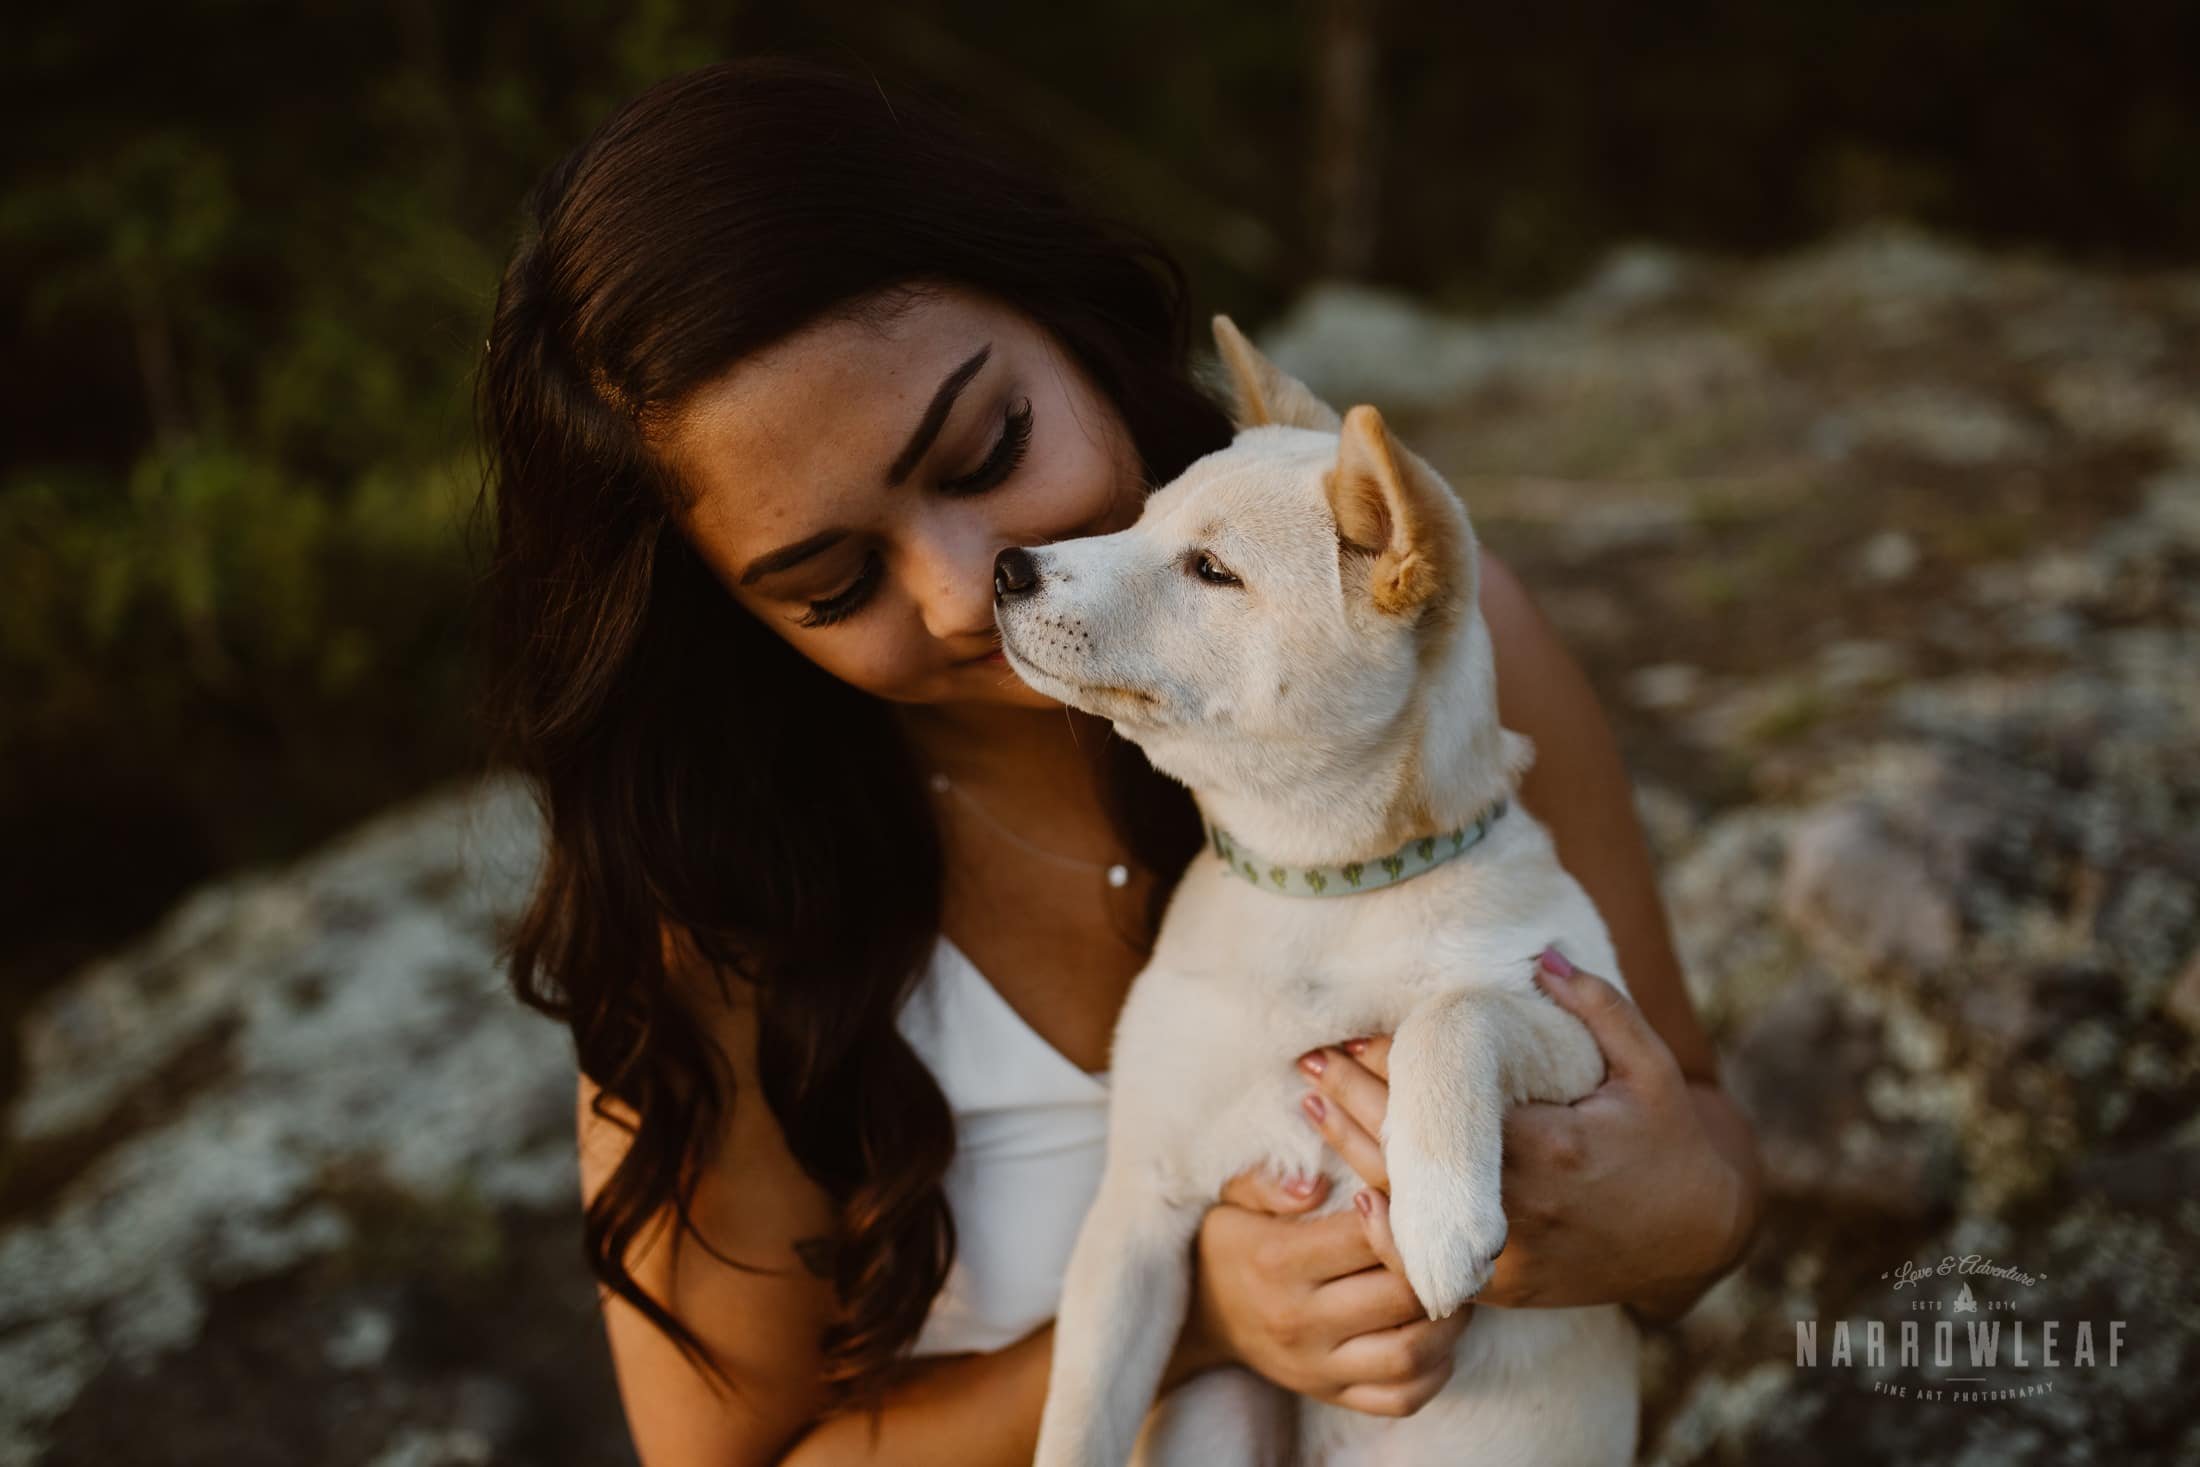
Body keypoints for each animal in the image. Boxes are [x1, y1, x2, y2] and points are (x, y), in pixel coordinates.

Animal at [994, 316, 1636, 1460]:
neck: (1321, 893)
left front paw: (1439, 1213)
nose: (1008, 565)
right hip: (1219, 1401)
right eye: (1139, 519)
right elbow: (1079, 1416)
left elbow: (1455, 1011)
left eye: (1210, 569)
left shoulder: (1588, 1042)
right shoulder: (1133, 1212)